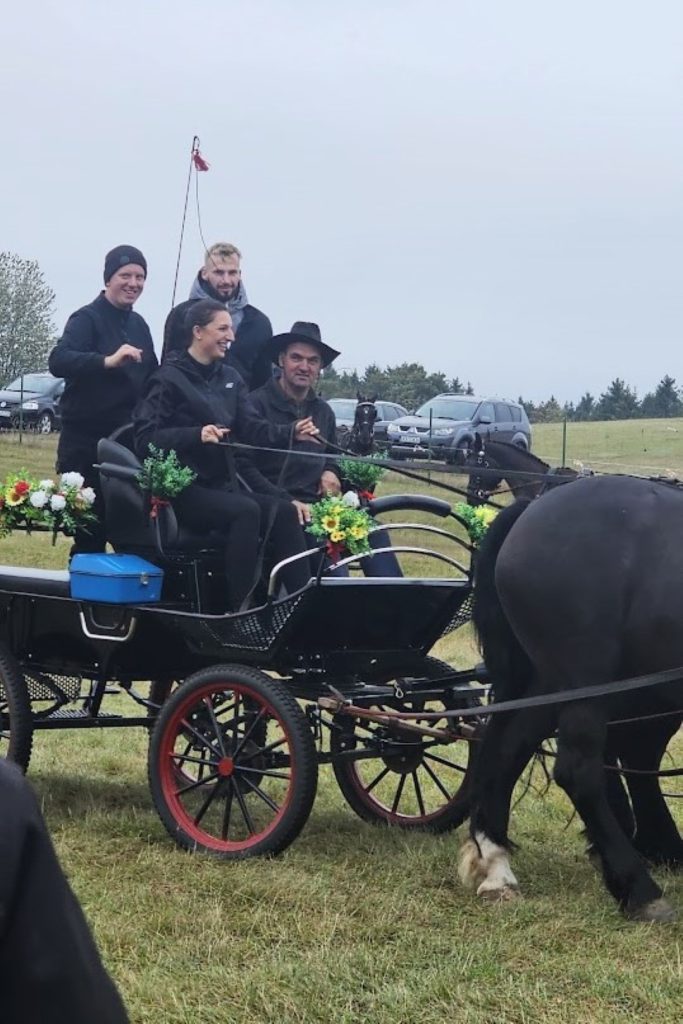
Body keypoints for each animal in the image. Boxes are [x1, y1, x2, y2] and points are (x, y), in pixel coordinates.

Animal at [458, 475, 683, 925]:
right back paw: (640, 889)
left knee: (506, 749)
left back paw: (497, 866)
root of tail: (533, 507)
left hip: (557, 681)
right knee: (580, 770)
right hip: (584, 678)